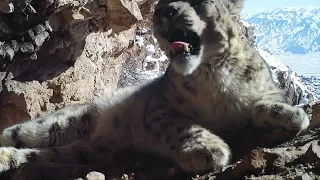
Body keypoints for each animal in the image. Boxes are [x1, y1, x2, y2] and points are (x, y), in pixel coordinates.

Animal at [0, 0, 310, 176]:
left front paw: (284, 113)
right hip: (51, 125)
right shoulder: (159, 108)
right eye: (161, 5)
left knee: (41, 154)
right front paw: (206, 149)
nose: (166, 11)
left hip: (86, 151)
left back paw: (9, 159)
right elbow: (181, 125)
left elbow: (270, 102)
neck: (213, 75)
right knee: (16, 133)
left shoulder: (262, 89)